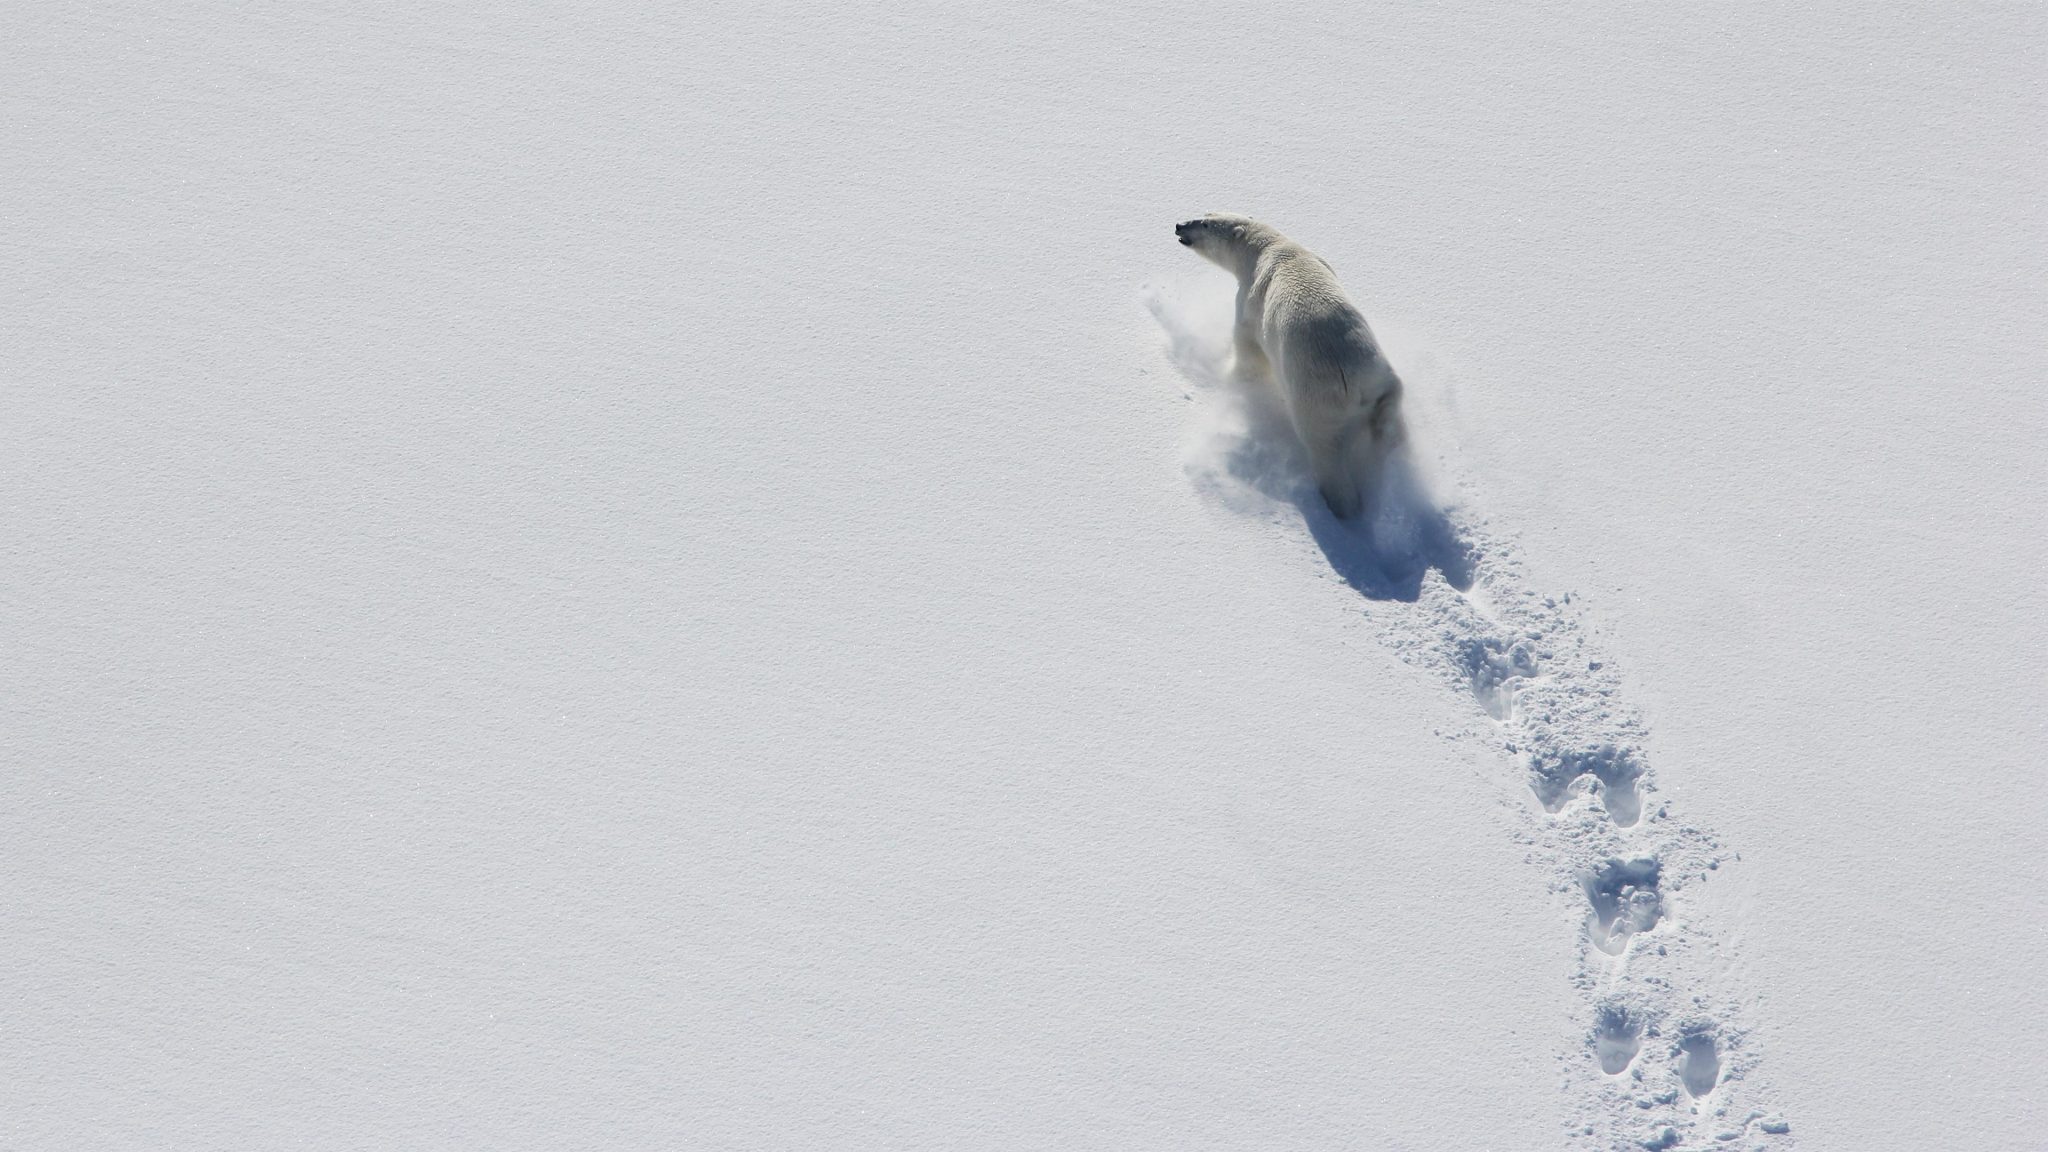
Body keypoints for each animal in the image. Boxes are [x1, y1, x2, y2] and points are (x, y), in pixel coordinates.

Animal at [1174, 213, 1403, 522]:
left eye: (1206, 224)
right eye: (1205, 213)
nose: (1179, 226)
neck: (1269, 247)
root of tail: (1355, 385)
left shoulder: (1250, 302)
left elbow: (1248, 353)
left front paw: (1224, 372)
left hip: (1315, 398)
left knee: (1324, 449)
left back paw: (1340, 506)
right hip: (1381, 375)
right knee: (1390, 416)